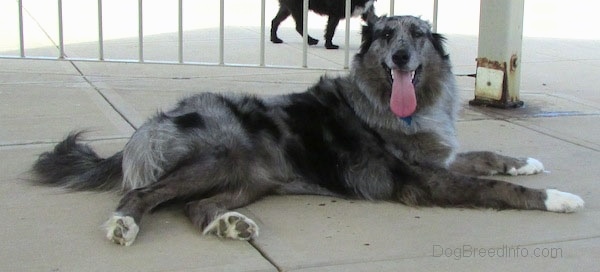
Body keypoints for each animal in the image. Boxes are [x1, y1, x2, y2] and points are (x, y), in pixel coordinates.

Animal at [31, 14, 580, 246]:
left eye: (419, 35)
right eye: (385, 34)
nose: (402, 56)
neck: (404, 108)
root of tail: (154, 120)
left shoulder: (437, 156)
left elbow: (487, 156)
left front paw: (528, 163)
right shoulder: (421, 180)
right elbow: (491, 186)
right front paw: (558, 198)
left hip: (249, 178)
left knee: (195, 207)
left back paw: (230, 225)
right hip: (221, 158)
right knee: (142, 193)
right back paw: (123, 226)